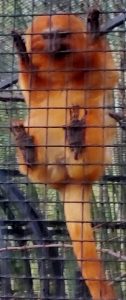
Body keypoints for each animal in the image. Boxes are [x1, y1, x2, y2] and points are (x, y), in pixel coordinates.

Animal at [11, 9, 118, 300]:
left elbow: (106, 74)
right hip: (49, 167)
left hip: (96, 156)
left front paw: (94, 33)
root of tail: (70, 182)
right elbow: (33, 94)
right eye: (47, 36)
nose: (53, 44)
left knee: (92, 118)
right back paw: (29, 152)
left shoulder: (96, 76)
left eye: (61, 35)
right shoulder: (38, 90)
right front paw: (23, 56)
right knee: (36, 122)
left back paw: (78, 144)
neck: (61, 67)